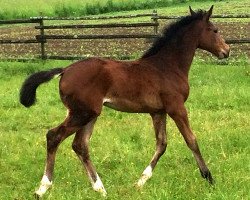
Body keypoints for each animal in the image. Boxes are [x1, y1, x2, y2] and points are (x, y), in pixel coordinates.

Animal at [20, 5, 229, 197]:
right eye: (215, 30)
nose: (226, 51)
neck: (167, 66)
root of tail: (64, 70)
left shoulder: (157, 111)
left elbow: (161, 144)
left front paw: (140, 182)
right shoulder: (176, 108)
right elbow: (191, 139)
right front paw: (209, 178)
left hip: (88, 114)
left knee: (80, 145)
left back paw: (100, 189)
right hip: (82, 113)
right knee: (54, 136)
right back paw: (43, 188)